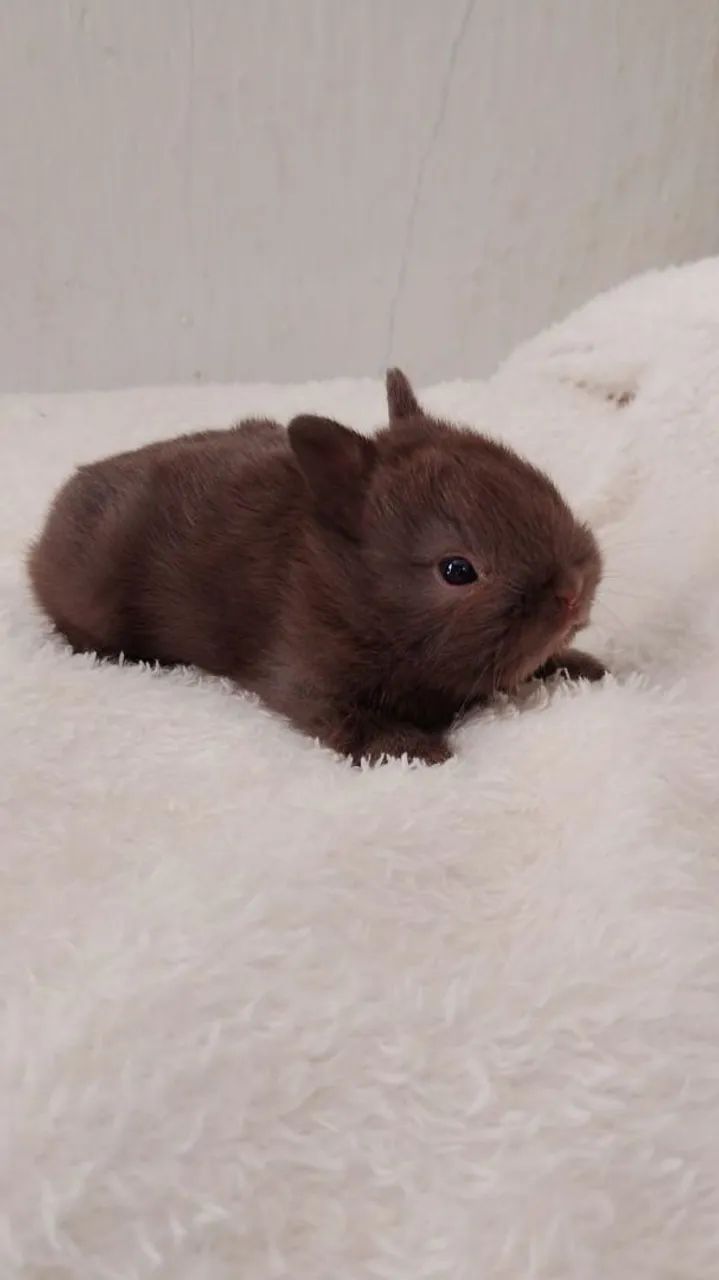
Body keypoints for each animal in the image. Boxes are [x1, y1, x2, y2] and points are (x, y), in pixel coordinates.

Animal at [28, 369, 605, 765]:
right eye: (457, 571)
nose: (573, 591)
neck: (357, 590)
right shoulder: (308, 675)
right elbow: (351, 720)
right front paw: (417, 749)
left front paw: (583, 667)